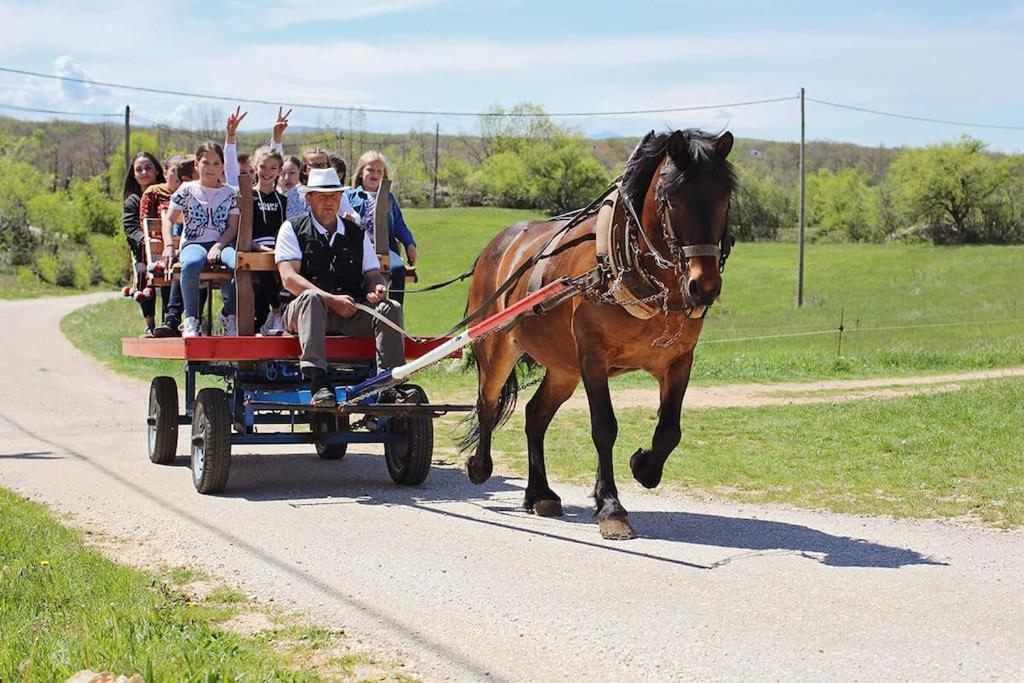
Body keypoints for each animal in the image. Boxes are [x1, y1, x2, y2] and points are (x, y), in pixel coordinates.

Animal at [460, 129, 733, 540]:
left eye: (725, 198)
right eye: (672, 199)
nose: (704, 287)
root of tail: (498, 244)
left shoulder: (679, 359)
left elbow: (670, 430)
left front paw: (644, 466)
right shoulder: (593, 357)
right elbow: (604, 427)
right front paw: (610, 507)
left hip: (563, 368)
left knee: (535, 415)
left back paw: (540, 492)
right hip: (496, 347)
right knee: (487, 403)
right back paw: (479, 466)